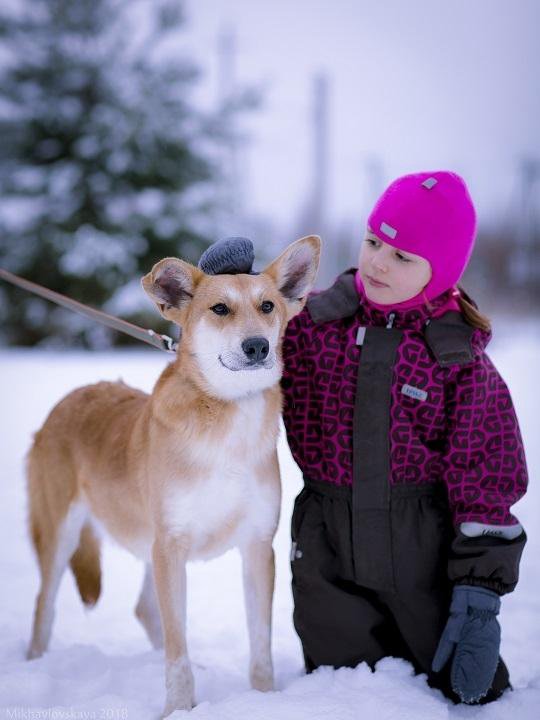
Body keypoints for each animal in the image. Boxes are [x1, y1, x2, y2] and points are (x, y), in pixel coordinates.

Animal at [26, 235, 320, 716]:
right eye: (219, 309)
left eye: (267, 306)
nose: (258, 346)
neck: (226, 420)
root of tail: (72, 396)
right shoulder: (172, 545)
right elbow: (177, 649)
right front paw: (179, 709)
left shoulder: (257, 547)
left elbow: (260, 644)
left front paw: (263, 700)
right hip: (65, 533)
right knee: (45, 605)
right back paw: (35, 664)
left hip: (151, 543)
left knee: (147, 611)